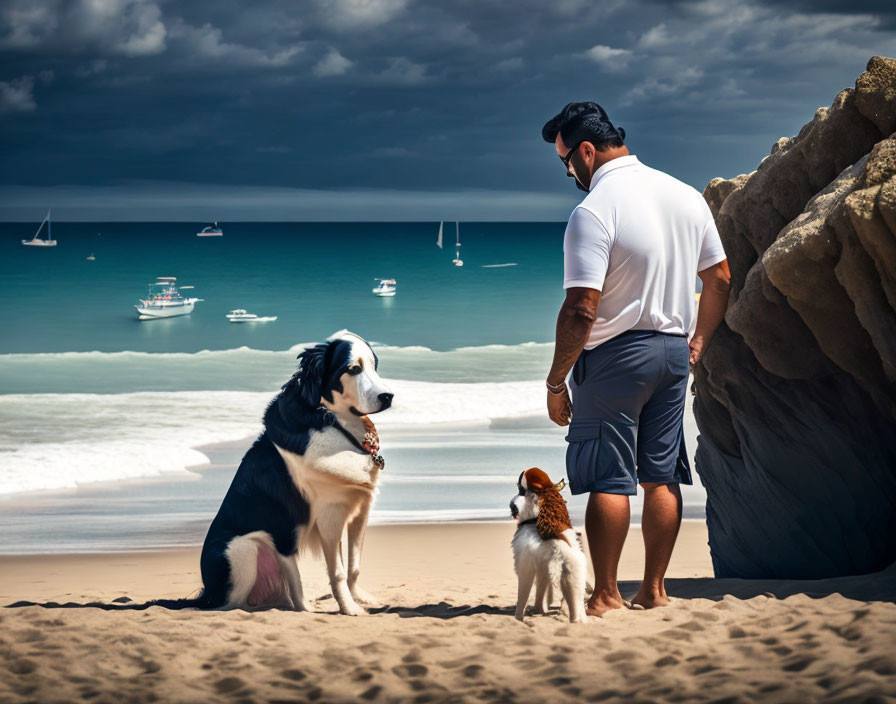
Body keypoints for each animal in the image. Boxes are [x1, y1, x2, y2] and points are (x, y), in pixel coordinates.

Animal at [157, 332, 392, 612]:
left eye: (375, 367)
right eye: (353, 369)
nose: (388, 396)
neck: (329, 421)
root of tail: (208, 593)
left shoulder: (359, 510)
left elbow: (353, 568)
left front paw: (362, 600)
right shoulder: (330, 517)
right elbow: (337, 573)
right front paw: (350, 609)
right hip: (245, 550)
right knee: (238, 604)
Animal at [512, 468, 588, 620]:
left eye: (520, 490)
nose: (512, 506)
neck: (533, 521)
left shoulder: (525, 567)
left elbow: (522, 596)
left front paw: (518, 617)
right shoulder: (543, 570)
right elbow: (541, 591)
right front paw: (538, 609)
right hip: (575, 581)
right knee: (577, 607)